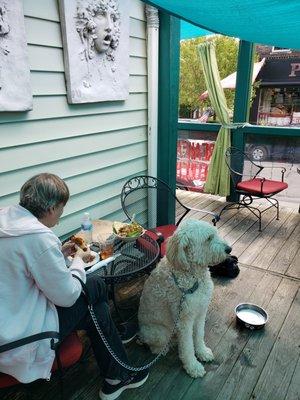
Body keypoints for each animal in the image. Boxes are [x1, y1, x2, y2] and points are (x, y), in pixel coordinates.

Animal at [138, 219, 232, 378]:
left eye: (215, 233)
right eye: (209, 238)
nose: (229, 249)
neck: (194, 277)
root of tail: (139, 333)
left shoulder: (200, 312)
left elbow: (199, 334)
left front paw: (202, 352)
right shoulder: (184, 321)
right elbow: (187, 347)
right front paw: (193, 366)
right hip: (160, 332)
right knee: (155, 346)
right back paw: (162, 349)